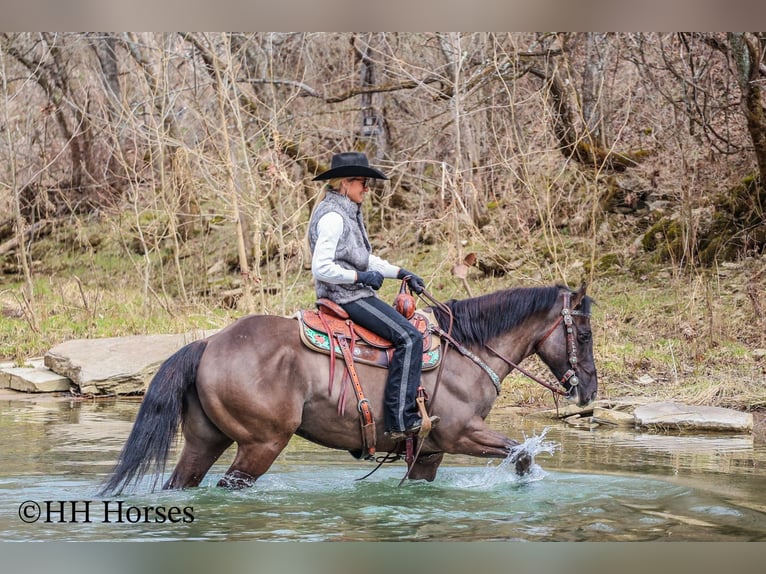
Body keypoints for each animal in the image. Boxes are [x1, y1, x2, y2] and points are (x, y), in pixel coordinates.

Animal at [100, 283, 597, 494]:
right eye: (585, 333)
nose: (589, 390)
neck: (466, 353)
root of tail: (209, 343)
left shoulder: (429, 452)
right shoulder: (461, 433)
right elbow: (522, 454)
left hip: (206, 440)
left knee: (183, 481)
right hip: (262, 443)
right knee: (231, 484)